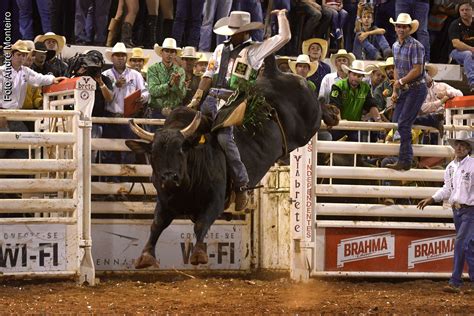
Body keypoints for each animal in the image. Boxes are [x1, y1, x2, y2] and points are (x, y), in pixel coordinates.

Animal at [128, 55, 338, 268]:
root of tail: (273, 74)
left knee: (319, 107)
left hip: (308, 123)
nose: (170, 178)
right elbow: (156, 225)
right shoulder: (165, 202)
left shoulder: (216, 200)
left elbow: (201, 224)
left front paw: (198, 254)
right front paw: (145, 256)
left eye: (181, 150)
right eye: (154, 154)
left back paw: (332, 113)